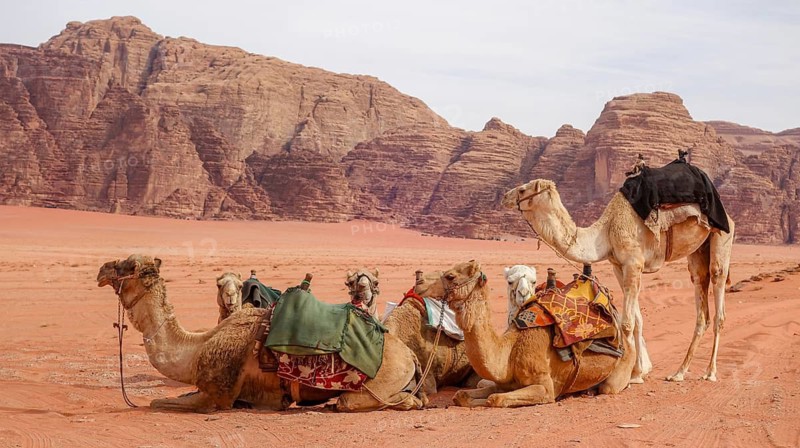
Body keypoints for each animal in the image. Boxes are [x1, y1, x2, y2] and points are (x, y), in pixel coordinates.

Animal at [97, 254, 428, 412]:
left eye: (129, 265)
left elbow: (157, 402)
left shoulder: (216, 395)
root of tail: (410, 356)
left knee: (353, 402)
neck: (197, 347)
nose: (102, 270)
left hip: (379, 379)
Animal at [415, 260, 634, 407]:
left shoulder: (545, 388)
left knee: (609, 387)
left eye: (450, 276)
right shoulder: (505, 382)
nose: (419, 284)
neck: (509, 351)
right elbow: (463, 395)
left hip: (618, 373)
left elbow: (495, 399)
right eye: (510, 281)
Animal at [501, 179, 734, 383]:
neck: (605, 232)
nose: (504, 197)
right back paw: (678, 373)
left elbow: (627, 323)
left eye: (522, 190)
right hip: (697, 251)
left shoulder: (633, 263)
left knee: (719, 299)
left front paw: (628, 376)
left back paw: (710, 373)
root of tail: (729, 217)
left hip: (722, 237)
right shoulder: (618, 267)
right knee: (701, 300)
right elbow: (638, 320)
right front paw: (638, 372)